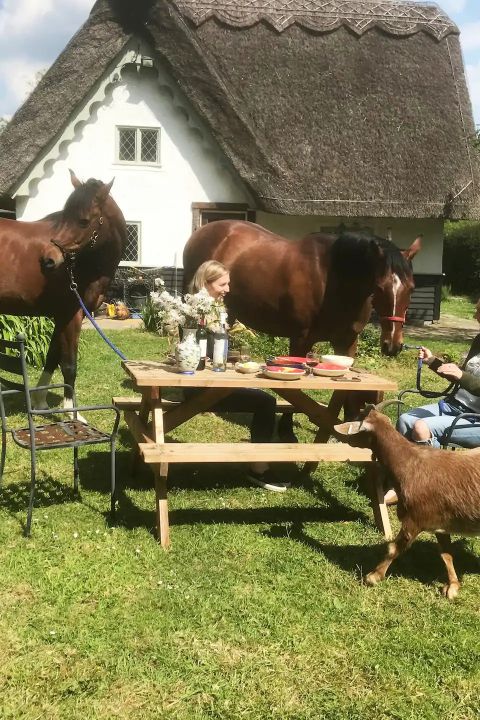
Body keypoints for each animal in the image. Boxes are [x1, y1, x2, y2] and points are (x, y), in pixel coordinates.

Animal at [0, 169, 126, 414]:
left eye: (84, 221)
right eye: (65, 215)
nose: (48, 259)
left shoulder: (62, 316)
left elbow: (52, 357)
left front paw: (40, 402)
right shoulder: (71, 314)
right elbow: (68, 365)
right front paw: (72, 413)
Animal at [334, 408, 480, 600]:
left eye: (356, 421)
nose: (340, 437)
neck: (409, 465)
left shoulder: (415, 519)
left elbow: (393, 548)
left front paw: (373, 576)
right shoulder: (439, 521)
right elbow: (446, 554)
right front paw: (453, 586)